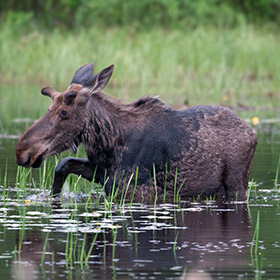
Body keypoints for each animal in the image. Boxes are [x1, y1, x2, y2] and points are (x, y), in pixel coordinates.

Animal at [14, 63, 256, 201]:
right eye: (50, 107)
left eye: (64, 111)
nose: (22, 150)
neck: (108, 144)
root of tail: (253, 133)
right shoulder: (101, 172)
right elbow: (64, 165)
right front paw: (53, 196)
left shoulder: (134, 191)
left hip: (236, 184)